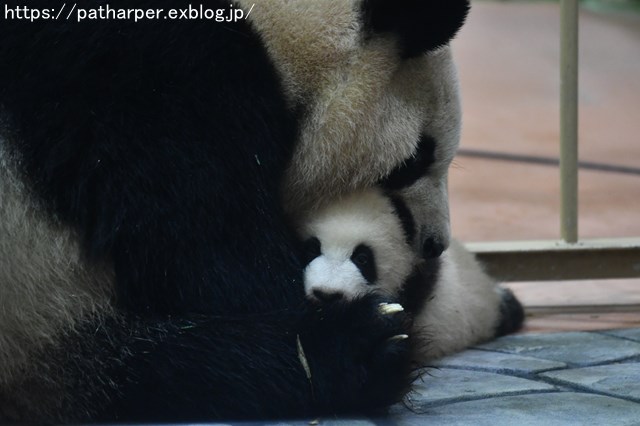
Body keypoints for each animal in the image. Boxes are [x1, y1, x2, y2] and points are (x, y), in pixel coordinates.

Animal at [0, 0, 470, 422]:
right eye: (417, 158)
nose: (435, 244)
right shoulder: (150, 79)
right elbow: (213, 256)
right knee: (167, 373)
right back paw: (354, 348)